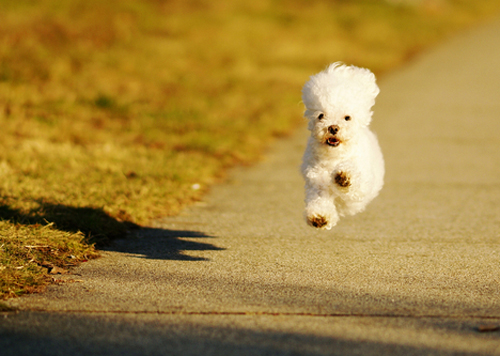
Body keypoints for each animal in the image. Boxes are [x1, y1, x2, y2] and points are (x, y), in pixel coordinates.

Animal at [300, 62, 382, 229]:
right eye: (321, 116)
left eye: (347, 118)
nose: (333, 127)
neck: (334, 156)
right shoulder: (316, 182)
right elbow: (319, 200)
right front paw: (320, 217)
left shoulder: (362, 185)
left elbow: (354, 180)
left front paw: (343, 176)